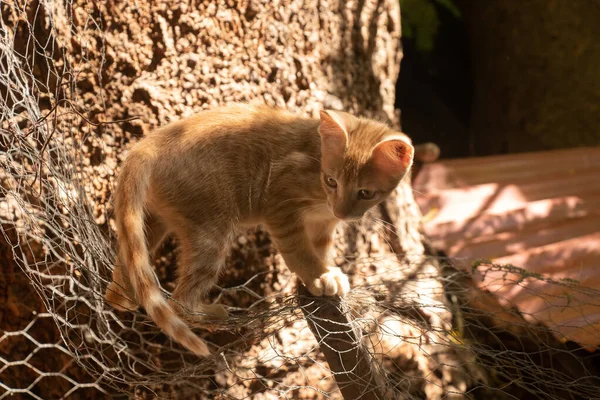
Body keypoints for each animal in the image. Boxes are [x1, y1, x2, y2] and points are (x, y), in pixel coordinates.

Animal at [105, 103, 412, 356]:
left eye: (366, 193)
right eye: (331, 181)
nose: (342, 211)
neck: (317, 154)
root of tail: (149, 143)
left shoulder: (322, 221)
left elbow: (319, 248)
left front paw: (324, 272)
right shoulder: (280, 201)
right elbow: (299, 250)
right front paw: (319, 276)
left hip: (153, 222)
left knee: (125, 273)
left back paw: (122, 296)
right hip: (211, 232)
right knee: (179, 303)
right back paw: (210, 313)